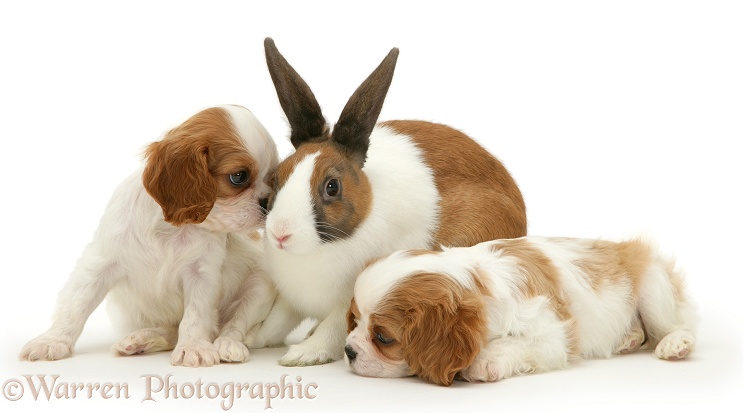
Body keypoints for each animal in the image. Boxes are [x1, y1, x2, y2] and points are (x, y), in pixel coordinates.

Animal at [21, 104, 282, 366]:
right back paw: (141, 340)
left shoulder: (202, 274)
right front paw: (52, 341)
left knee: (233, 325)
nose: (267, 202)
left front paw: (193, 347)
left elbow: (196, 315)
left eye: (271, 179)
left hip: (261, 286)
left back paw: (227, 344)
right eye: (239, 177)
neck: (173, 228)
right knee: (171, 331)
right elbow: (76, 304)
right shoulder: (100, 263)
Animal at [250, 38, 528, 366]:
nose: (281, 233)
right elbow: (277, 320)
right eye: (277, 176)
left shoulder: (349, 298)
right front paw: (251, 340)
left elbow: (332, 327)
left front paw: (304, 354)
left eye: (332, 187)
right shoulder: (288, 297)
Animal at [346, 237, 700, 384]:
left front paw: (484, 360)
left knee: (679, 323)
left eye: (383, 337)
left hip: (653, 288)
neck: (478, 280)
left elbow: (516, 342)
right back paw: (628, 339)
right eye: (354, 320)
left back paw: (675, 343)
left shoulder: (554, 336)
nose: (348, 351)